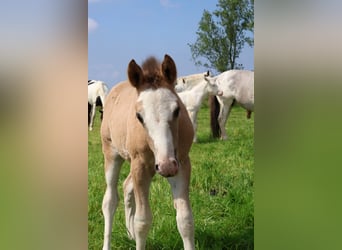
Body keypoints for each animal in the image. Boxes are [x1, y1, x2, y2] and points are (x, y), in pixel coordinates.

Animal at [99, 55, 195, 250]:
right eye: (139, 116)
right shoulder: (141, 166)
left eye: (177, 110)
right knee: (110, 200)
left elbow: (185, 220)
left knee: (127, 186)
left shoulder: (181, 164)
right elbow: (142, 221)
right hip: (112, 155)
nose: (166, 166)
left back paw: (130, 235)